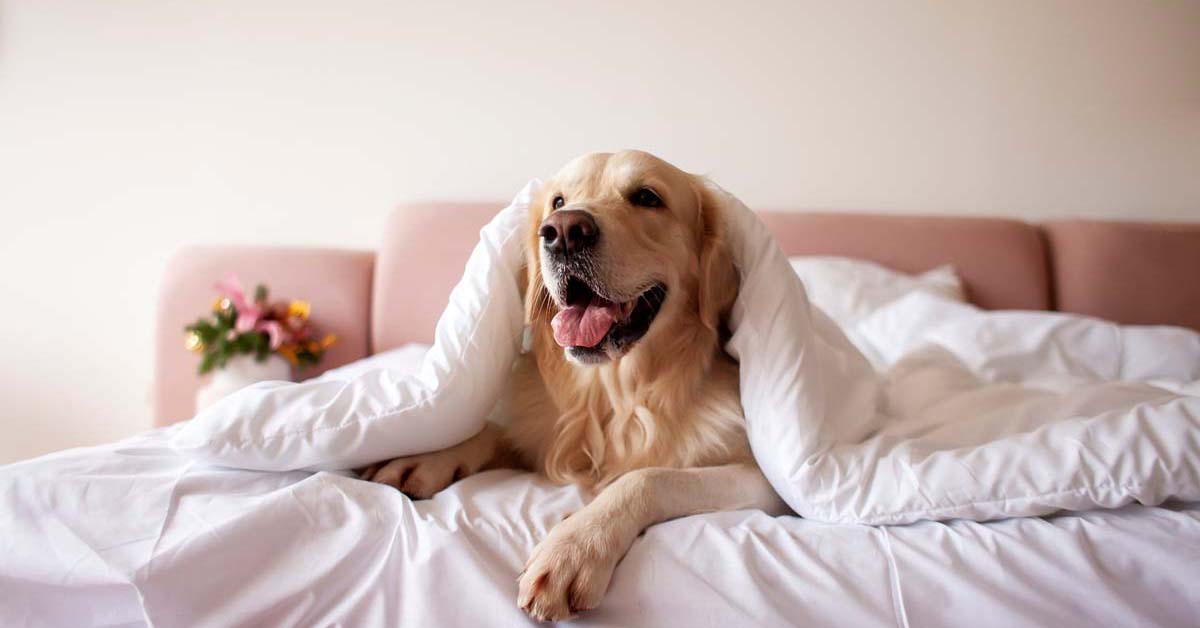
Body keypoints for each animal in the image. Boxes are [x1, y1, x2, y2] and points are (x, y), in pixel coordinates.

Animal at [360, 150, 787, 619]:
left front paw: (575, 545)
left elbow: (648, 477)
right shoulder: (540, 431)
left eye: (647, 197)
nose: (563, 231)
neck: (613, 397)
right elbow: (494, 430)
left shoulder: (765, 483)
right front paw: (426, 457)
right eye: (558, 201)